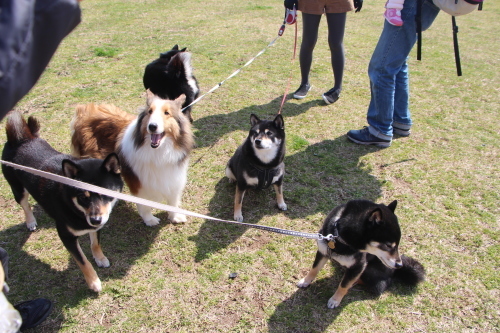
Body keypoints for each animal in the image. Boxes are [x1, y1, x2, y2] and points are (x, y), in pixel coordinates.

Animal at [70, 91, 193, 224]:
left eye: (167, 113)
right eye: (150, 112)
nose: (152, 126)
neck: (159, 151)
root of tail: (84, 110)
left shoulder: (173, 175)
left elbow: (173, 200)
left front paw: (175, 216)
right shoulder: (137, 181)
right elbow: (144, 205)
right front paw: (149, 220)